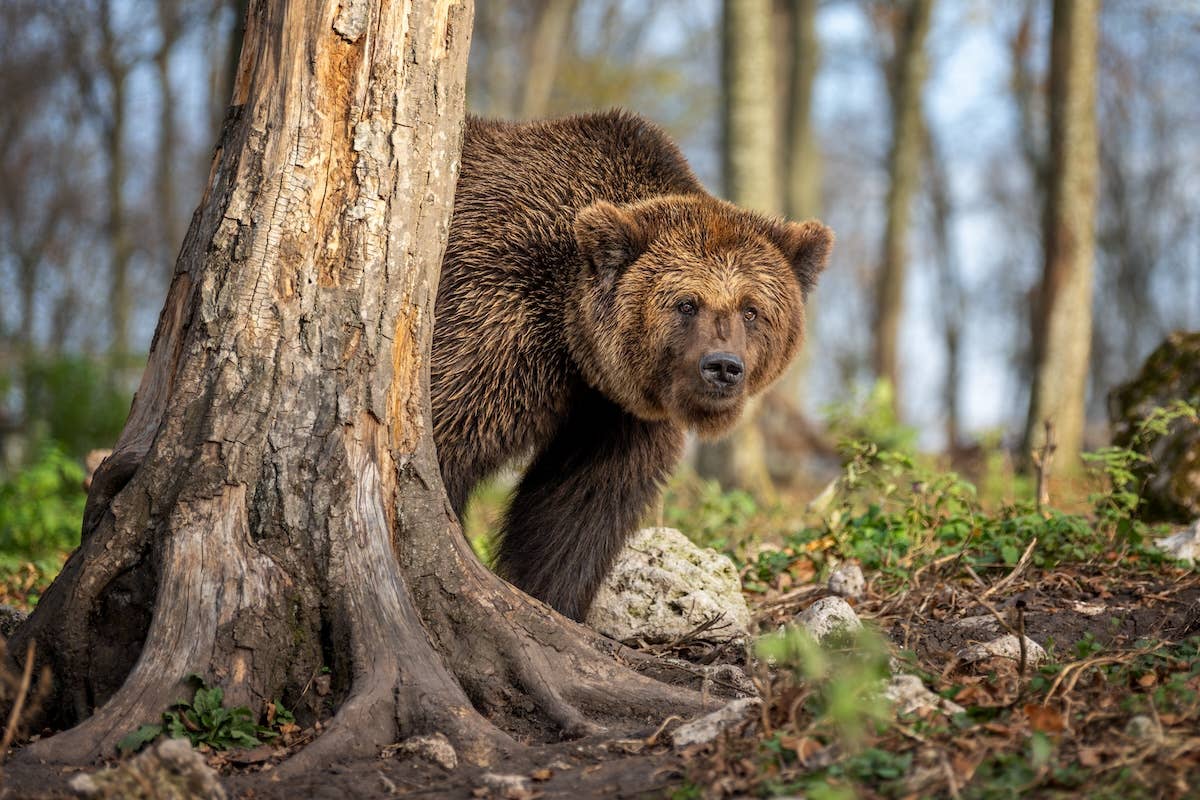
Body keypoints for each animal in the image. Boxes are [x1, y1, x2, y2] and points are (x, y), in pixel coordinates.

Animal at [432, 110, 833, 621]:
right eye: (686, 303)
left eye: (751, 309)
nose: (723, 367)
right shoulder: (493, 319)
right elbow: (446, 434)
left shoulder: (620, 413)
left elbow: (580, 506)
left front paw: (549, 597)